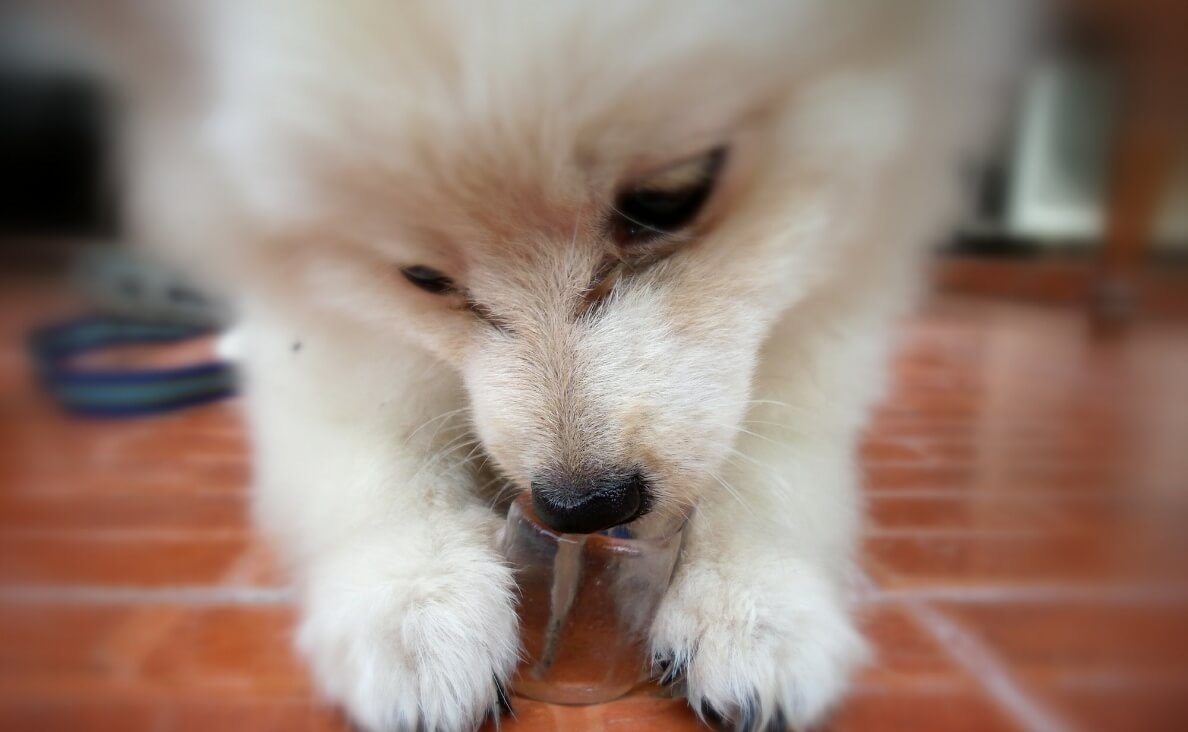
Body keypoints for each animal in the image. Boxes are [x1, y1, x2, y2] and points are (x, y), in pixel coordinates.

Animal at [111, 1, 1031, 732]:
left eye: (670, 198)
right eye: (423, 277)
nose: (585, 505)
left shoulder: (837, 276)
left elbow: (777, 453)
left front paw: (757, 601)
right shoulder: (326, 329)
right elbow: (372, 449)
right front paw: (411, 605)